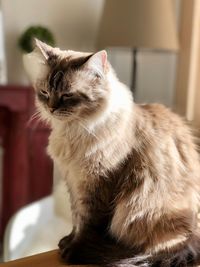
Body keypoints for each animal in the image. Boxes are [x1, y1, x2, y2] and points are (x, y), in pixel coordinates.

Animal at [22, 39, 200, 267]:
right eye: (45, 92)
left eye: (67, 95)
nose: (51, 109)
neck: (74, 131)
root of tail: (193, 239)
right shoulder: (74, 181)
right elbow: (76, 219)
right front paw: (67, 242)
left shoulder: (98, 185)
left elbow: (87, 226)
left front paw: (74, 251)